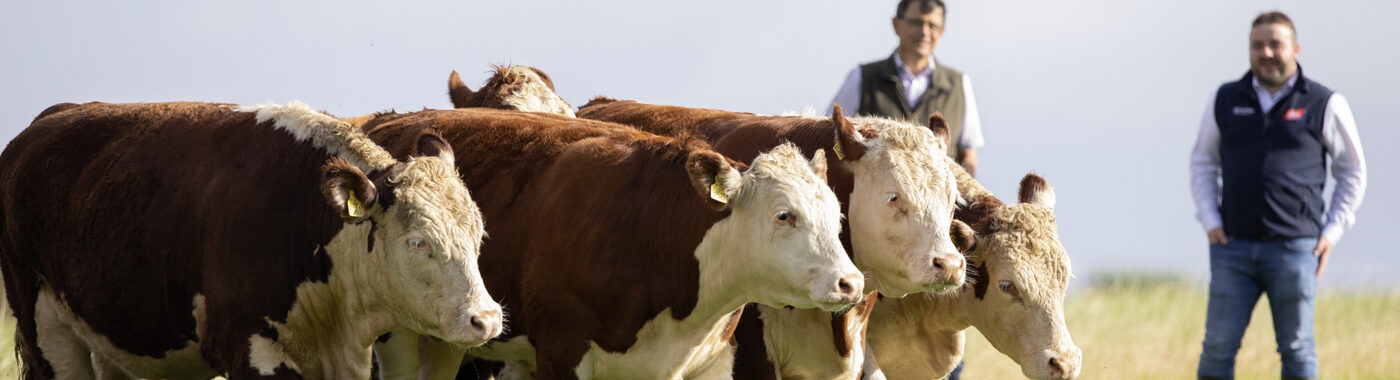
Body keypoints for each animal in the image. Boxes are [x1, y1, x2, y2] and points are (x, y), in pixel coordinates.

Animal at [361, 107, 862, 380]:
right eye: (784, 215)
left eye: (836, 215)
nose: (851, 283)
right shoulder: (560, 353)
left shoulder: (711, 362)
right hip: (399, 332)